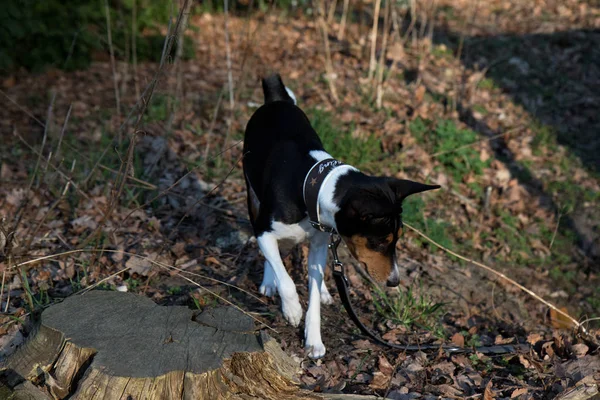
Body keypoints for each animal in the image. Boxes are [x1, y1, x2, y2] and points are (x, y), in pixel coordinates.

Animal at [241, 75, 438, 360]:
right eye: (380, 241)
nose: (394, 281)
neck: (310, 184)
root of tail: (277, 98)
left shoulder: (320, 242)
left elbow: (313, 293)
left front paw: (313, 339)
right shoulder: (264, 231)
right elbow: (284, 276)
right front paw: (292, 309)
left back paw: (322, 288)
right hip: (252, 196)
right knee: (274, 256)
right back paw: (270, 282)